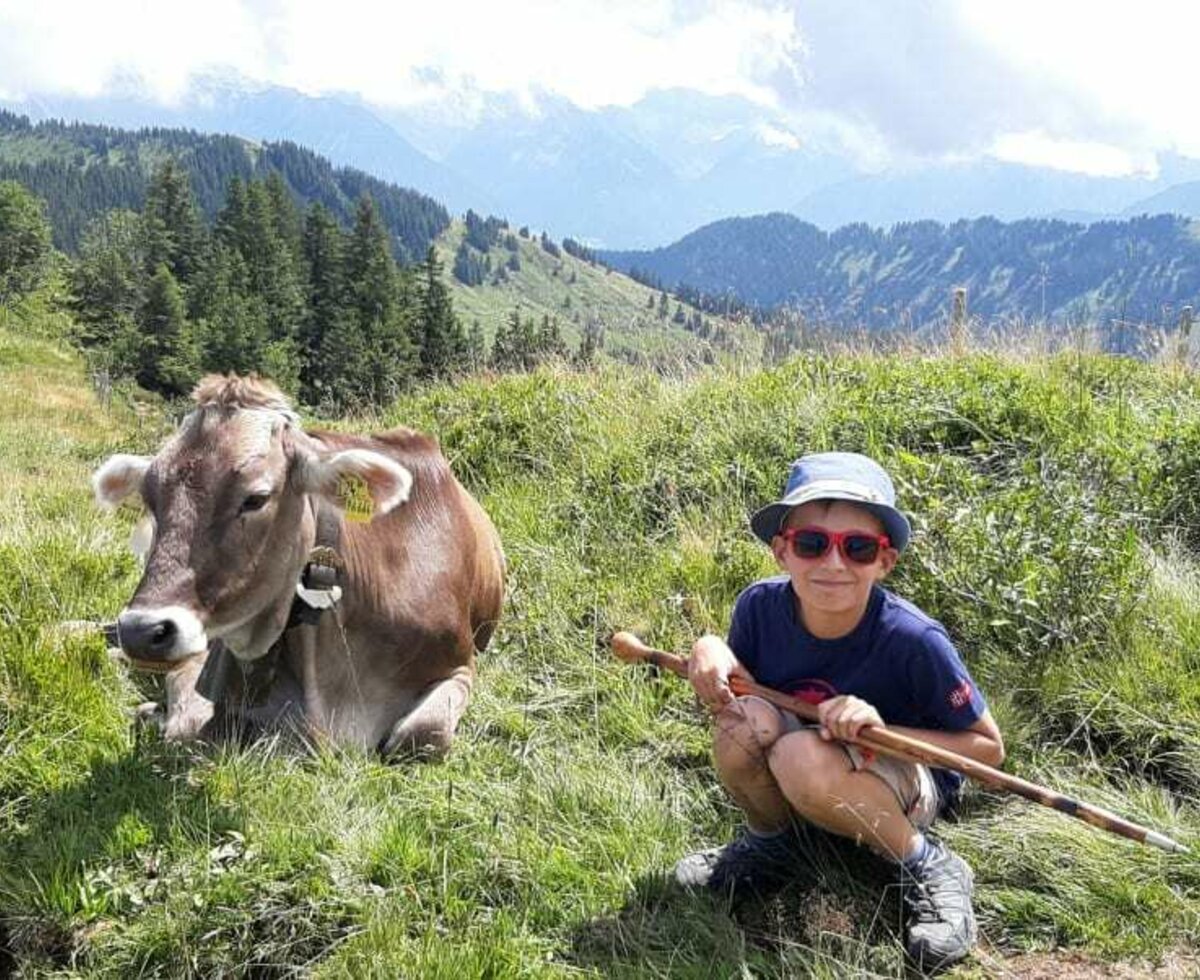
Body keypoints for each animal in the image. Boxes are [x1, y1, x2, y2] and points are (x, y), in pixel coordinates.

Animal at [91, 374, 504, 758]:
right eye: (150, 498)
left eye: (256, 498)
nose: (143, 631)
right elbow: (190, 725)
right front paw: (151, 712)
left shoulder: (461, 664)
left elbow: (423, 734)